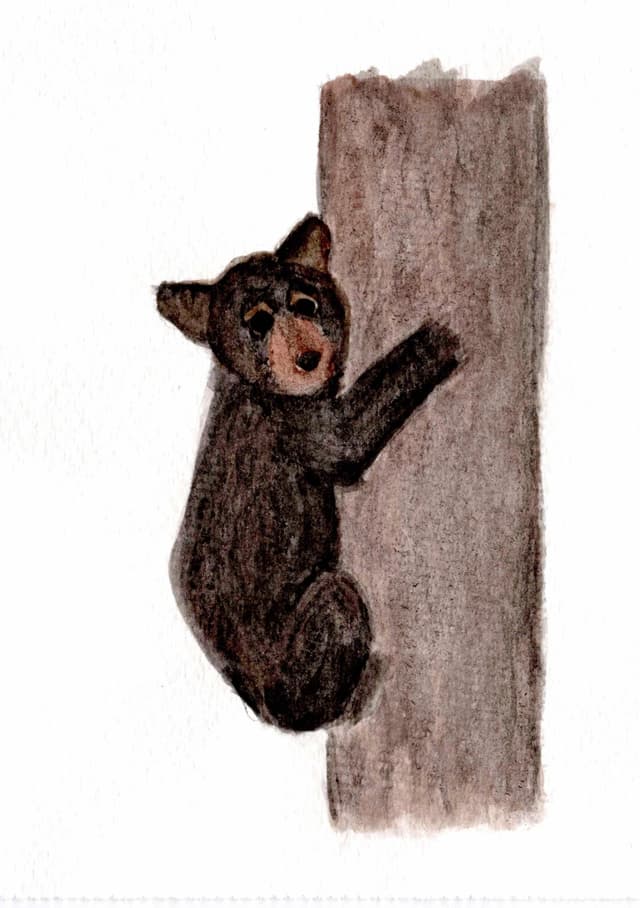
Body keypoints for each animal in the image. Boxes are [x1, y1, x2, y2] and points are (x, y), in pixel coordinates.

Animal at [157, 215, 461, 731]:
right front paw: (434, 340)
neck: (250, 385)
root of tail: (261, 703)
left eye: (305, 304)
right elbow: (347, 440)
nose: (307, 358)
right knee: (335, 616)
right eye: (257, 322)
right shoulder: (295, 422)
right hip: (309, 639)